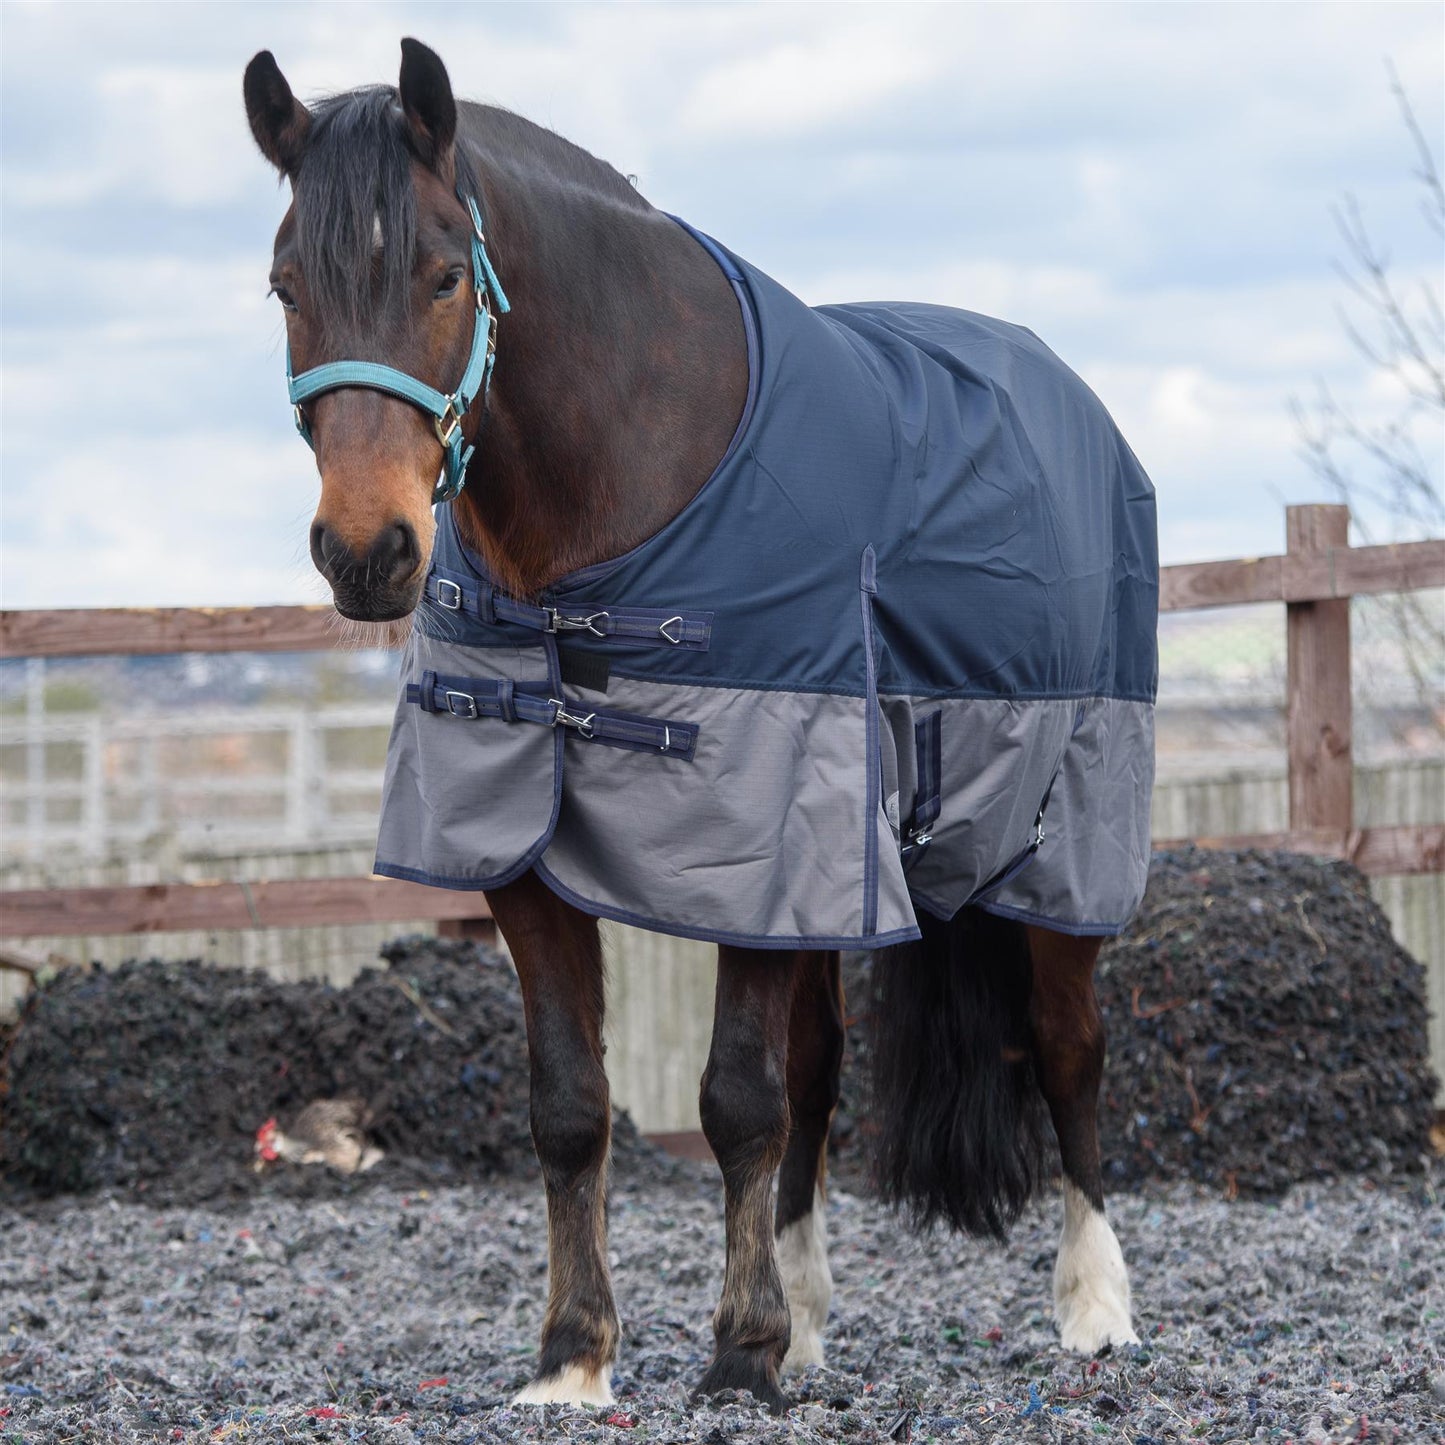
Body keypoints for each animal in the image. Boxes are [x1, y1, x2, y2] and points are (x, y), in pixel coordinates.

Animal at [244, 38, 1156, 1412]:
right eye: (286, 284)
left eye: (444, 274)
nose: (368, 551)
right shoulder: (525, 861)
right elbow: (573, 1104)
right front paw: (575, 1355)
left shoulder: (759, 846)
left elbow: (735, 1097)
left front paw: (737, 1351)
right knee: (824, 1070)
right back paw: (813, 1314)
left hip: (1057, 832)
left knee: (1066, 1047)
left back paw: (1093, 1307)